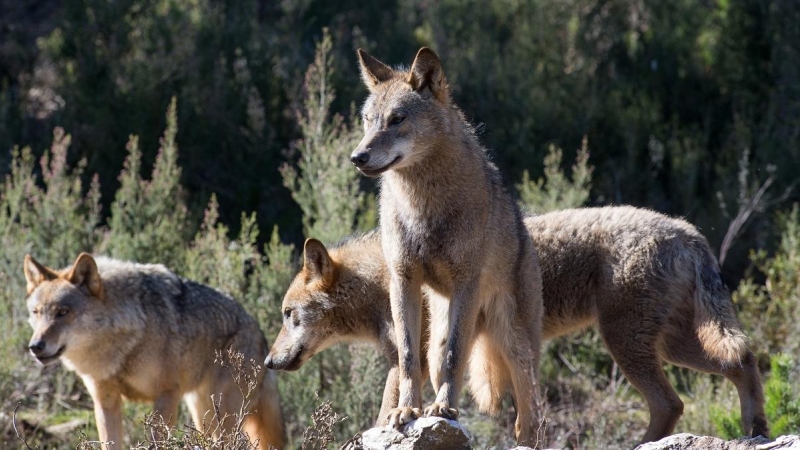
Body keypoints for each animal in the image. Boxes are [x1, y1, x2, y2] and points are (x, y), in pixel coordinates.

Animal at [24, 251, 284, 448]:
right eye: (36, 312)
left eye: (63, 312)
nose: (35, 346)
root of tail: (260, 333)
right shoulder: (105, 401)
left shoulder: (166, 396)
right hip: (203, 415)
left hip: (224, 419)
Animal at [268, 207, 768, 442]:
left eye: (289, 316)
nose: (269, 362)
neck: (380, 280)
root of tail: (688, 231)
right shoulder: (409, 362)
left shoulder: (411, 362)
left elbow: (386, 411)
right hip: (671, 346)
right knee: (742, 361)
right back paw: (756, 429)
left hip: (630, 345)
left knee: (672, 402)